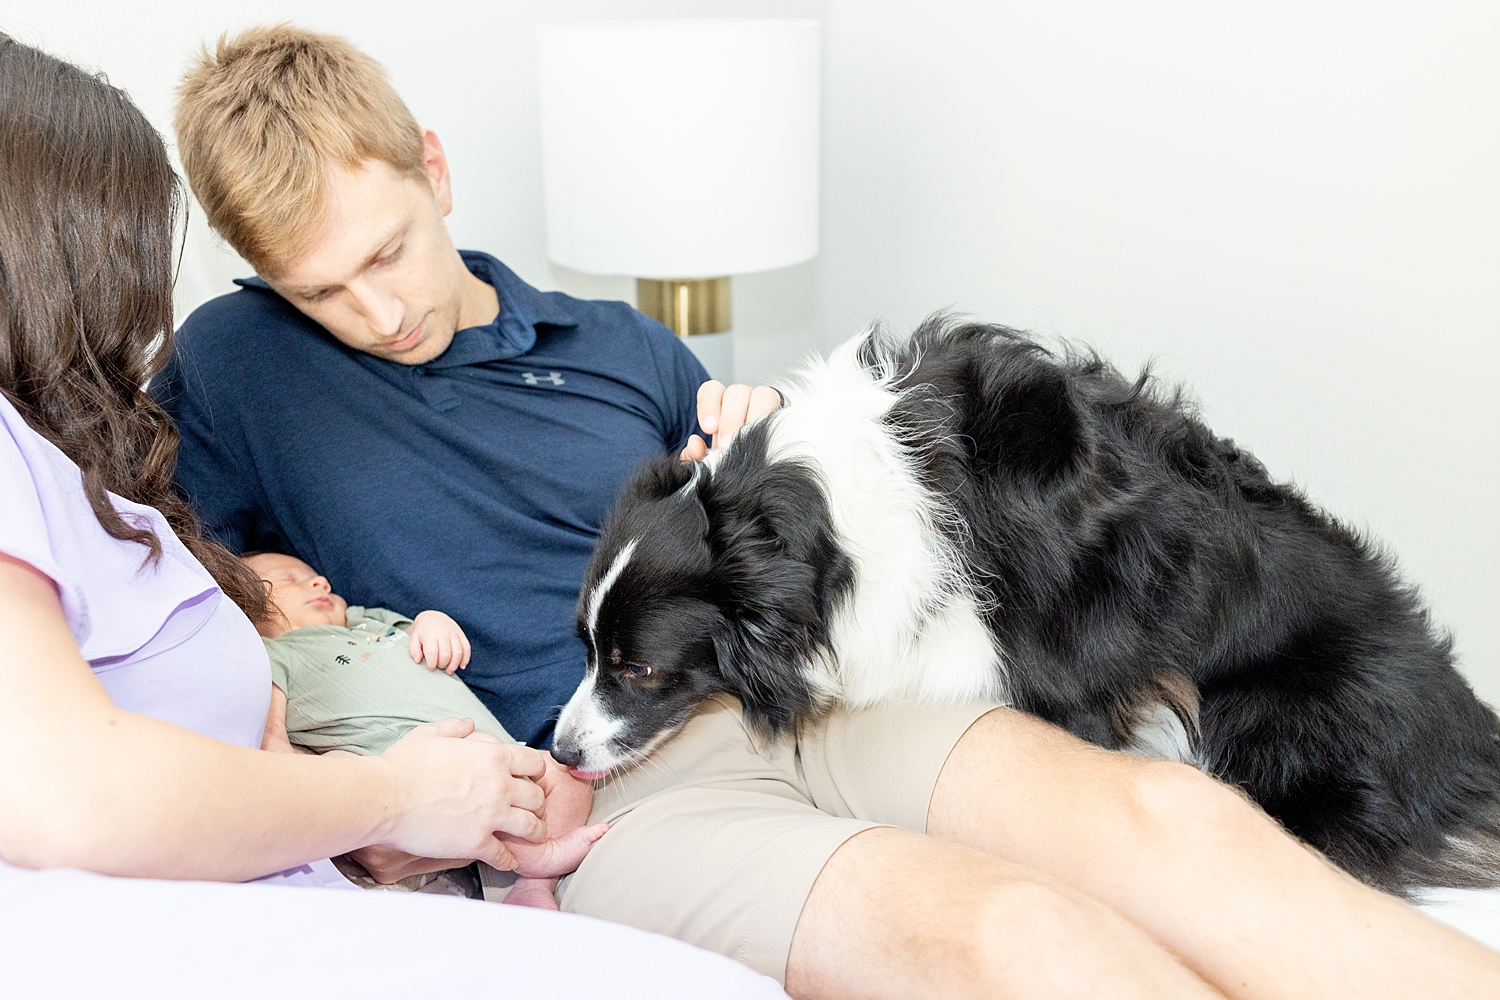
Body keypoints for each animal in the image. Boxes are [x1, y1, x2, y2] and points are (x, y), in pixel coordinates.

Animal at [558, 316, 1500, 893]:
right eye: (585, 646)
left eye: (641, 669)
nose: (560, 751)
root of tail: (1472, 743)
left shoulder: (1064, 681)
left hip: (1270, 721)